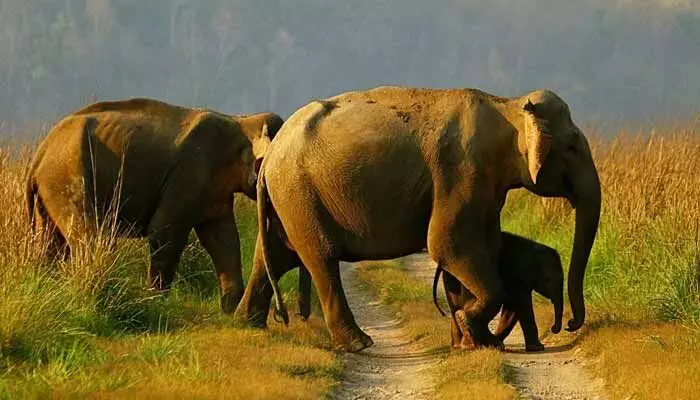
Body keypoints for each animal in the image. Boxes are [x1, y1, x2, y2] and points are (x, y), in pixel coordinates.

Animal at [26, 98, 282, 313]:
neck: (241, 121)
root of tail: (39, 153)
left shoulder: (214, 193)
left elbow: (222, 239)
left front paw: (231, 308)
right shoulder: (188, 173)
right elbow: (164, 231)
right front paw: (156, 301)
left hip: (49, 192)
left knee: (52, 242)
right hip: (66, 178)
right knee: (89, 235)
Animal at [432, 232, 564, 352]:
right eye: (548, 279)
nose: (553, 328)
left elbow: (512, 309)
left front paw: (497, 342)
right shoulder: (516, 274)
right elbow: (521, 305)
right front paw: (537, 348)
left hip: (452, 273)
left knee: (455, 304)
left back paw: (460, 344)